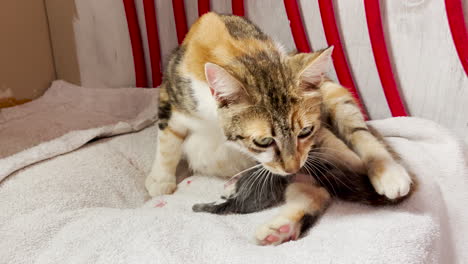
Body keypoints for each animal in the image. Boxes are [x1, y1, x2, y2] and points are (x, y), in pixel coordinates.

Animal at [147, 12, 414, 245]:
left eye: (305, 132)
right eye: (263, 141)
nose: (292, 167)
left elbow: (327, 137)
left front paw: (355, 161)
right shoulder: (172, 95)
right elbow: (168, 140)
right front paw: (160, 179)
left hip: (332, 93)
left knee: (356, 134)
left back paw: (386, 172)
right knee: (316, 191)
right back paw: (280, 229)